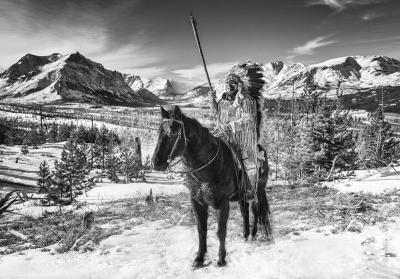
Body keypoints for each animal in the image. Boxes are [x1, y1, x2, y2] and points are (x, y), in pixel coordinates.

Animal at [152, 106, 272, 268]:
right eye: (159, 131)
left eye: (173, 132)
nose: (156, 162)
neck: (207, 168)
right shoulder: (197, 202)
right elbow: (201, 230)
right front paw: (199, 258)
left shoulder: (222, 203)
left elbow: (221, 231)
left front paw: (221, 259)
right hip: (242, 196)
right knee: (244, 212)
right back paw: (245, 236)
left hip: (257, 191)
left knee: (256, 211)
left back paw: (252, 235)